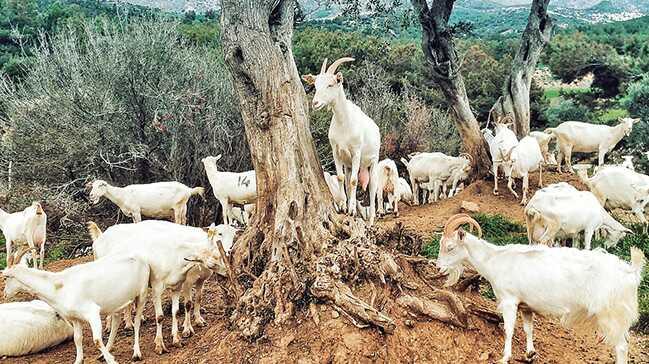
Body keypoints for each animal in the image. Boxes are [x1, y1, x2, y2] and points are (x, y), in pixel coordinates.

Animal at [90, 219, 234, 352]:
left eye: (234, 236)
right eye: (220, 234)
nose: (228, 270)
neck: (175, 256)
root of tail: (101, 235)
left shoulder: (180, 285)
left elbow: (178, 310)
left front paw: (177, 338)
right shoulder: (160, 287)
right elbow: (163, 315)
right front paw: (162, 343)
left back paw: (131, 322)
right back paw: (113, 325)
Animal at [302, 57, 380, 225]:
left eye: (330, 84)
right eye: (315, 85)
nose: (315, 103)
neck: (344, 122)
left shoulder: (356, 152)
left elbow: (354, 181)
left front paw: (351, 209)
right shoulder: (336, 152)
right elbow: (341, 178)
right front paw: (343, 206)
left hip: (373, 161)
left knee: (372, 187)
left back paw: (370, 219)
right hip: (349, 165)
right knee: (349, 179)